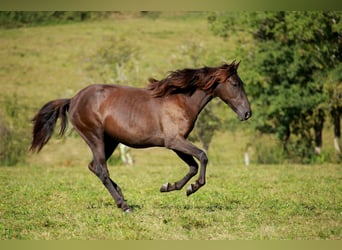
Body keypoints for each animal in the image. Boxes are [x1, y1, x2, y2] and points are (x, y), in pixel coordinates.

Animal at [30, 61, 251, 212]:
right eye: (235, 84)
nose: (247, 113)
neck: (180, 100)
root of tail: (73, 99)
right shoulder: (174, 141)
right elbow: (203, 156)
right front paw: (193, 187)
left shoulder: (175, 144)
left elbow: (193, 166)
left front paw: (170, 187)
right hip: (95, 137)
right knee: (102, 170)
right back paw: (124, 205)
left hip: (110, 141)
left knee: (94, 167)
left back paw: (122, 196)